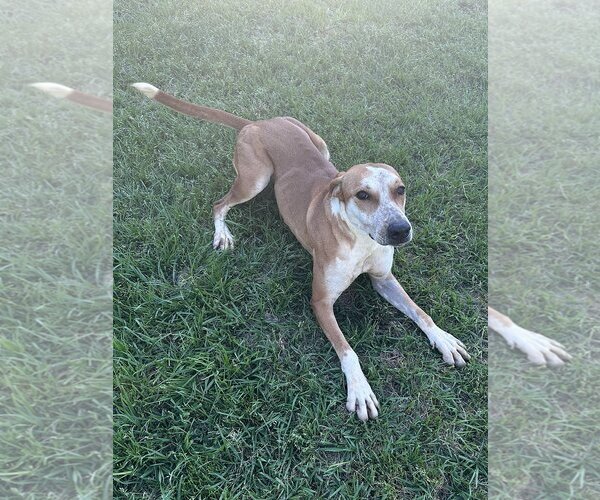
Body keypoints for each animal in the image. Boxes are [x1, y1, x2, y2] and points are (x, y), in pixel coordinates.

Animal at [134, 83, 476, 422]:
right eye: (362, 195)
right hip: (255, 178)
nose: (400, 230)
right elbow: (347, 349)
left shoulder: (384, 279)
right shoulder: (321, 301)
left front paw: (443, 339)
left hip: (319, 144)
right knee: (219, 204)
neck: (360, 240)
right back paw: (223, 234)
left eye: (400, 190)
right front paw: (359, 389)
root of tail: (257, 123)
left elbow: (420, 312)